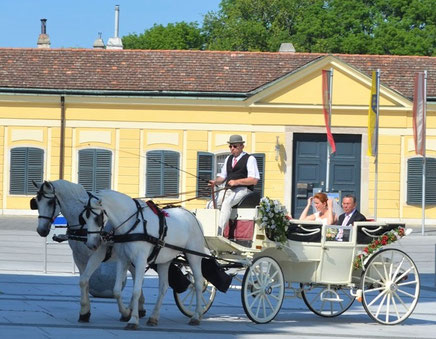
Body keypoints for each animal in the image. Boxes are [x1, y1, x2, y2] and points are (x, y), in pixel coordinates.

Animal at [32, 179, 145, 322]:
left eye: (50, 202)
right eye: (36, 202)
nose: (41, 230)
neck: (83, 224)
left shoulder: (96, 255)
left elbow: (85, 280)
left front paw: (85, 311)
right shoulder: (79, 257)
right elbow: (84, 282)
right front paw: (85, 311)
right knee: (136, 276)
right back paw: (138, 308)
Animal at [83, 190, 206, 330]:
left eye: (97, 218)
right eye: (84, 218)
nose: (91, 244)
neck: (133, 224)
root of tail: (193, 217)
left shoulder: (140, 261)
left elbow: (136, 291)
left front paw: (133, 320)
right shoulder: (123, 260)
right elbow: (116, 290)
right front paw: (126, 313)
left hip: (194, 256)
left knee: (198, 283)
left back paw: (196, 316)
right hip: (165, 260)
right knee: (163, 287)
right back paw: (154, 317)